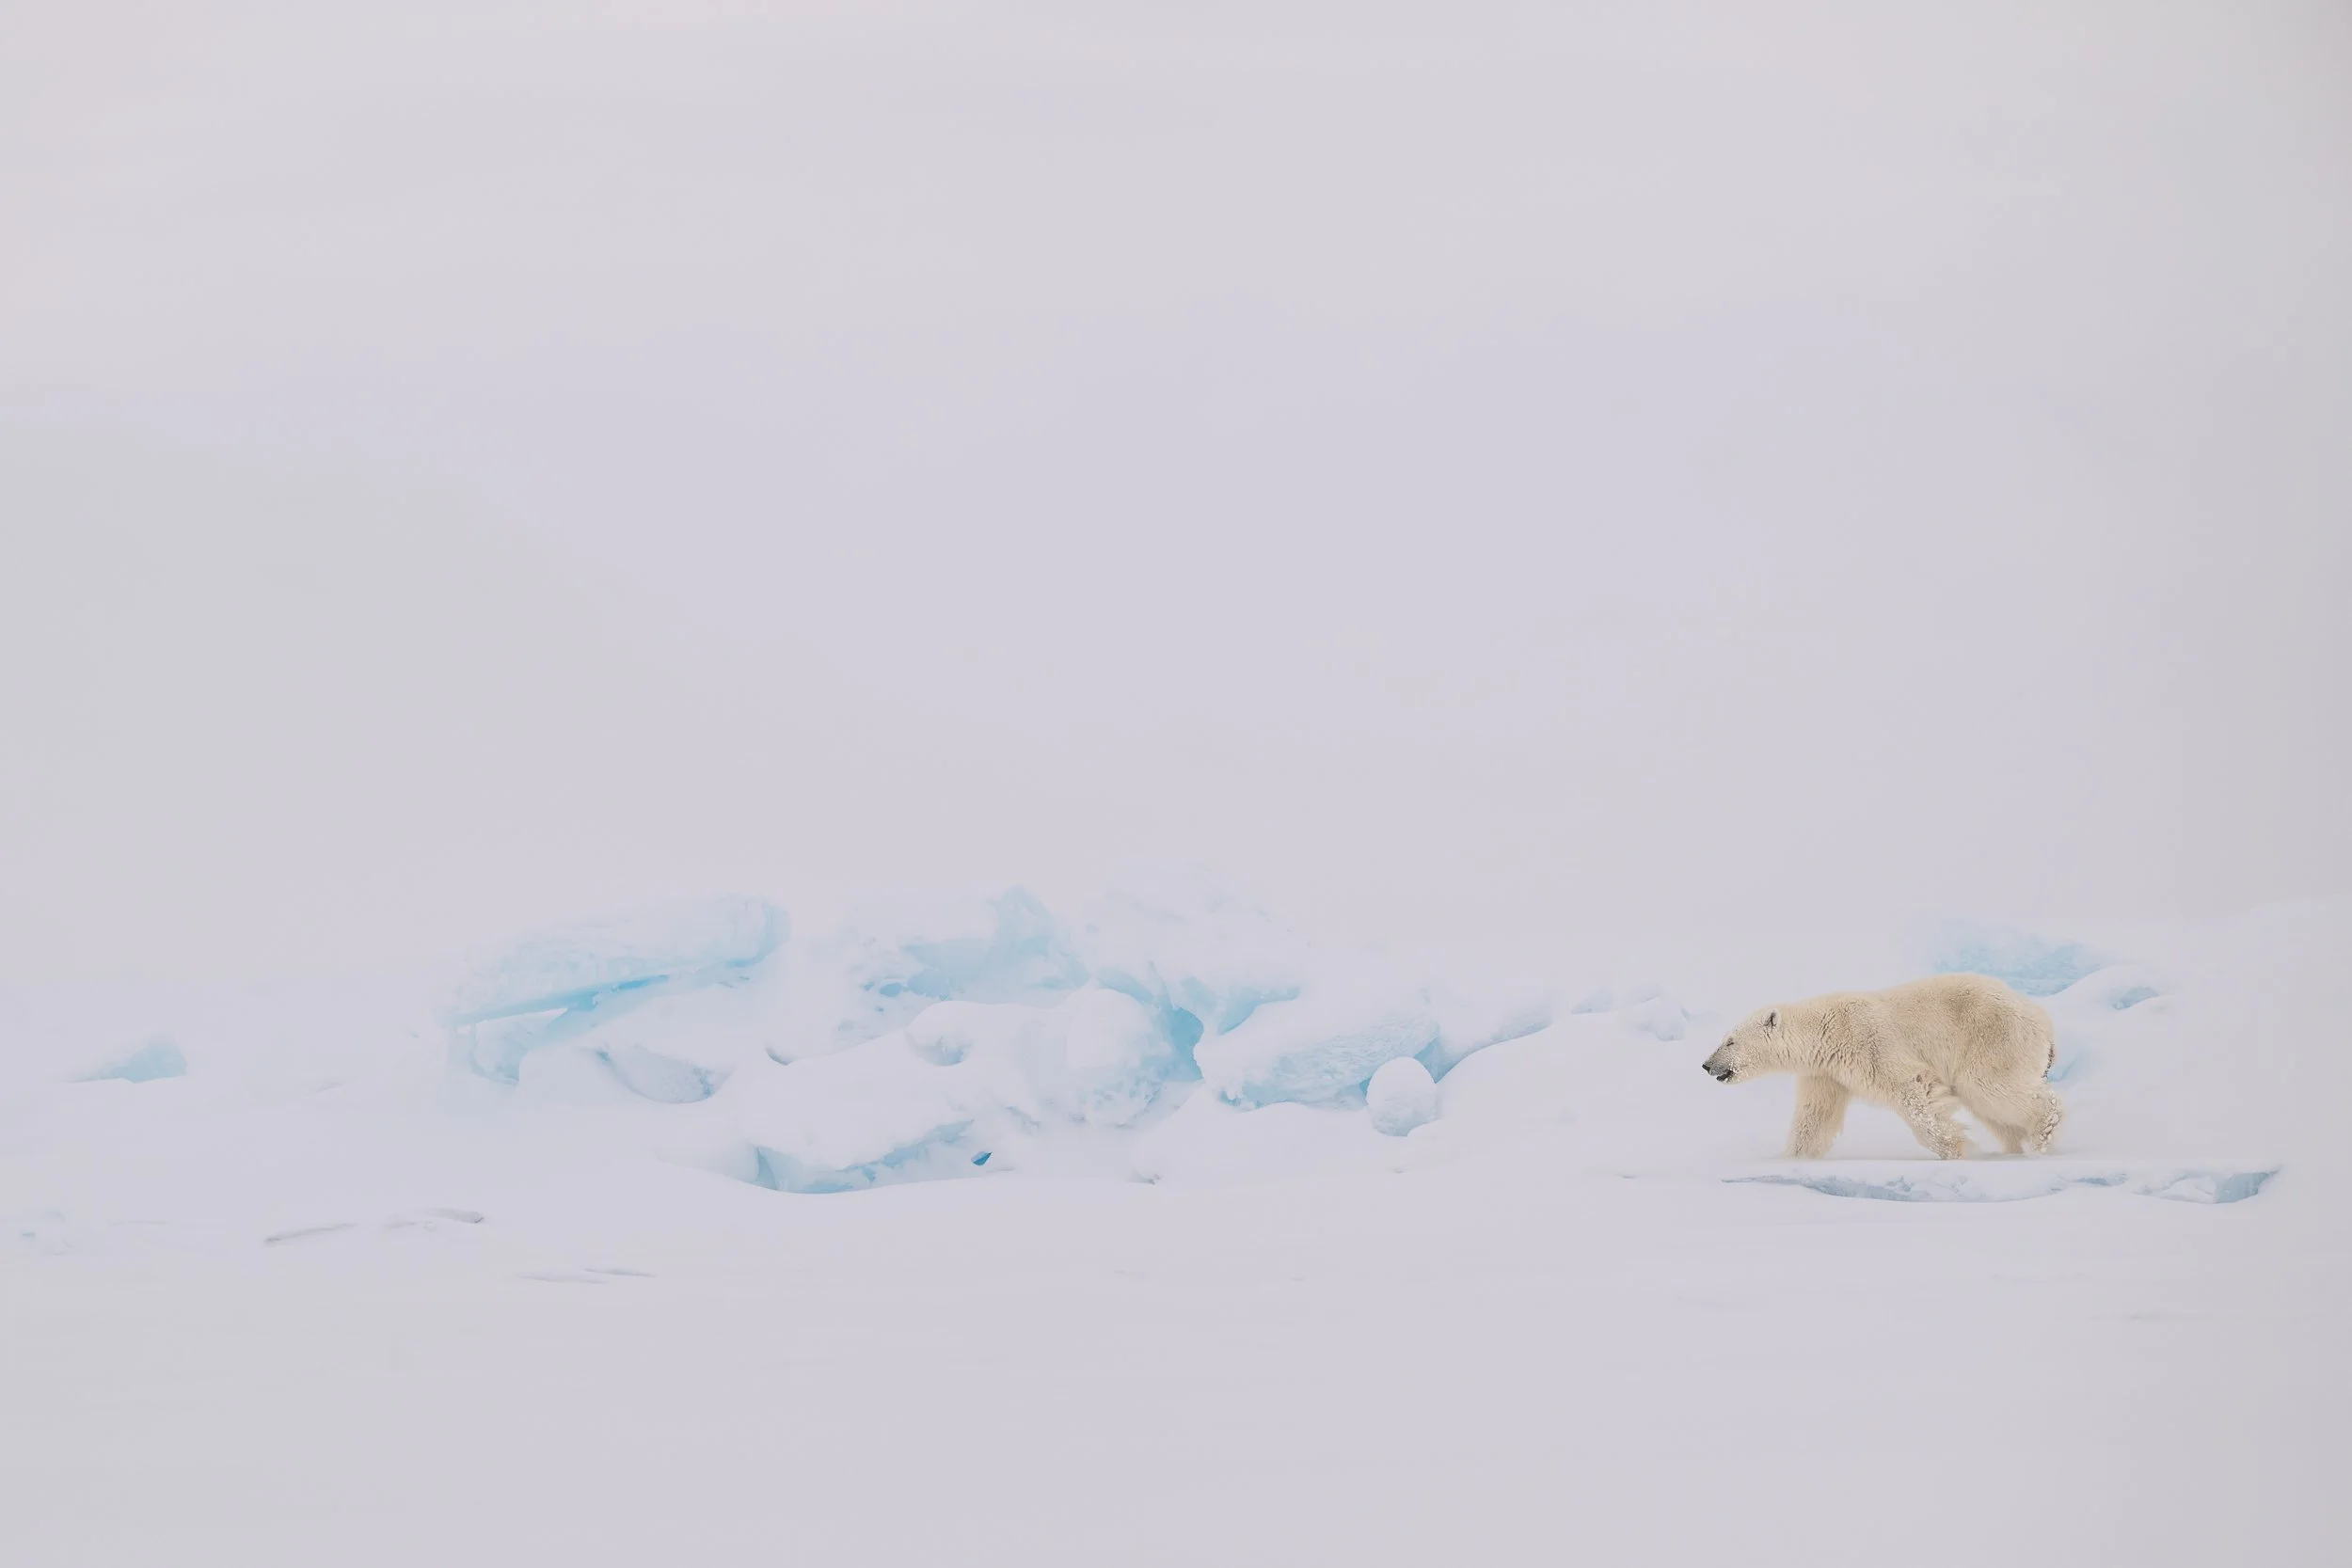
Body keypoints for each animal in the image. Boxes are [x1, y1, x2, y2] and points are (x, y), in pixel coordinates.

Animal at [1699, 973, 2065, 1160]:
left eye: (1729, 1041)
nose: (1706, 1065)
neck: (1824, 1029)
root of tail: (2044, 1023)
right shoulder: (1825, 1073)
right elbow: (1815, 1116)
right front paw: (1793, 1158)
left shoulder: (1869, 1043)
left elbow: (1913, 1091)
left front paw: (1954, 1149)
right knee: (1991, 1107)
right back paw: (2016, 1148)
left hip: (1993, 1037)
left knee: (1989, 1087)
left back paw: (2043, 1133)